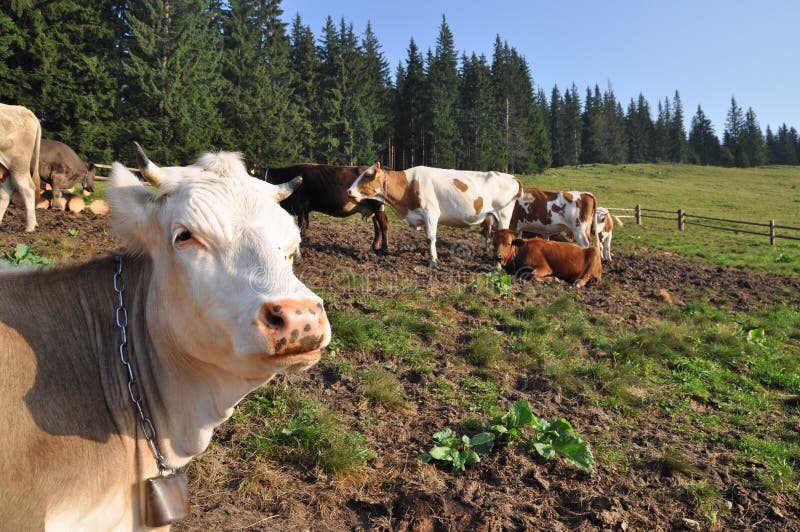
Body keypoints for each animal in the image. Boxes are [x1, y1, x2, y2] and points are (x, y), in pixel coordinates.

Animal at [346, 160, 520, 264]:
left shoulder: (431, 213)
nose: (348, 191)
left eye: (367, 175)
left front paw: (433, 261)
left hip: (504, 215)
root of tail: (511, 176)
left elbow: (431, 239)